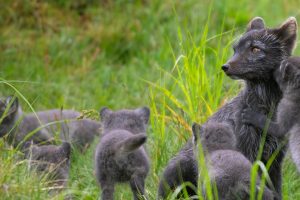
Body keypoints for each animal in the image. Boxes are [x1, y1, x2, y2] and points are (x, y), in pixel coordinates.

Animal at [159, 16, 298, 197]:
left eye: (255, 49)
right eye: (235, 49)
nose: (225, 66)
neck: (267, 110)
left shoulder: (275, 158)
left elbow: (276, 190)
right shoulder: (246, 151)